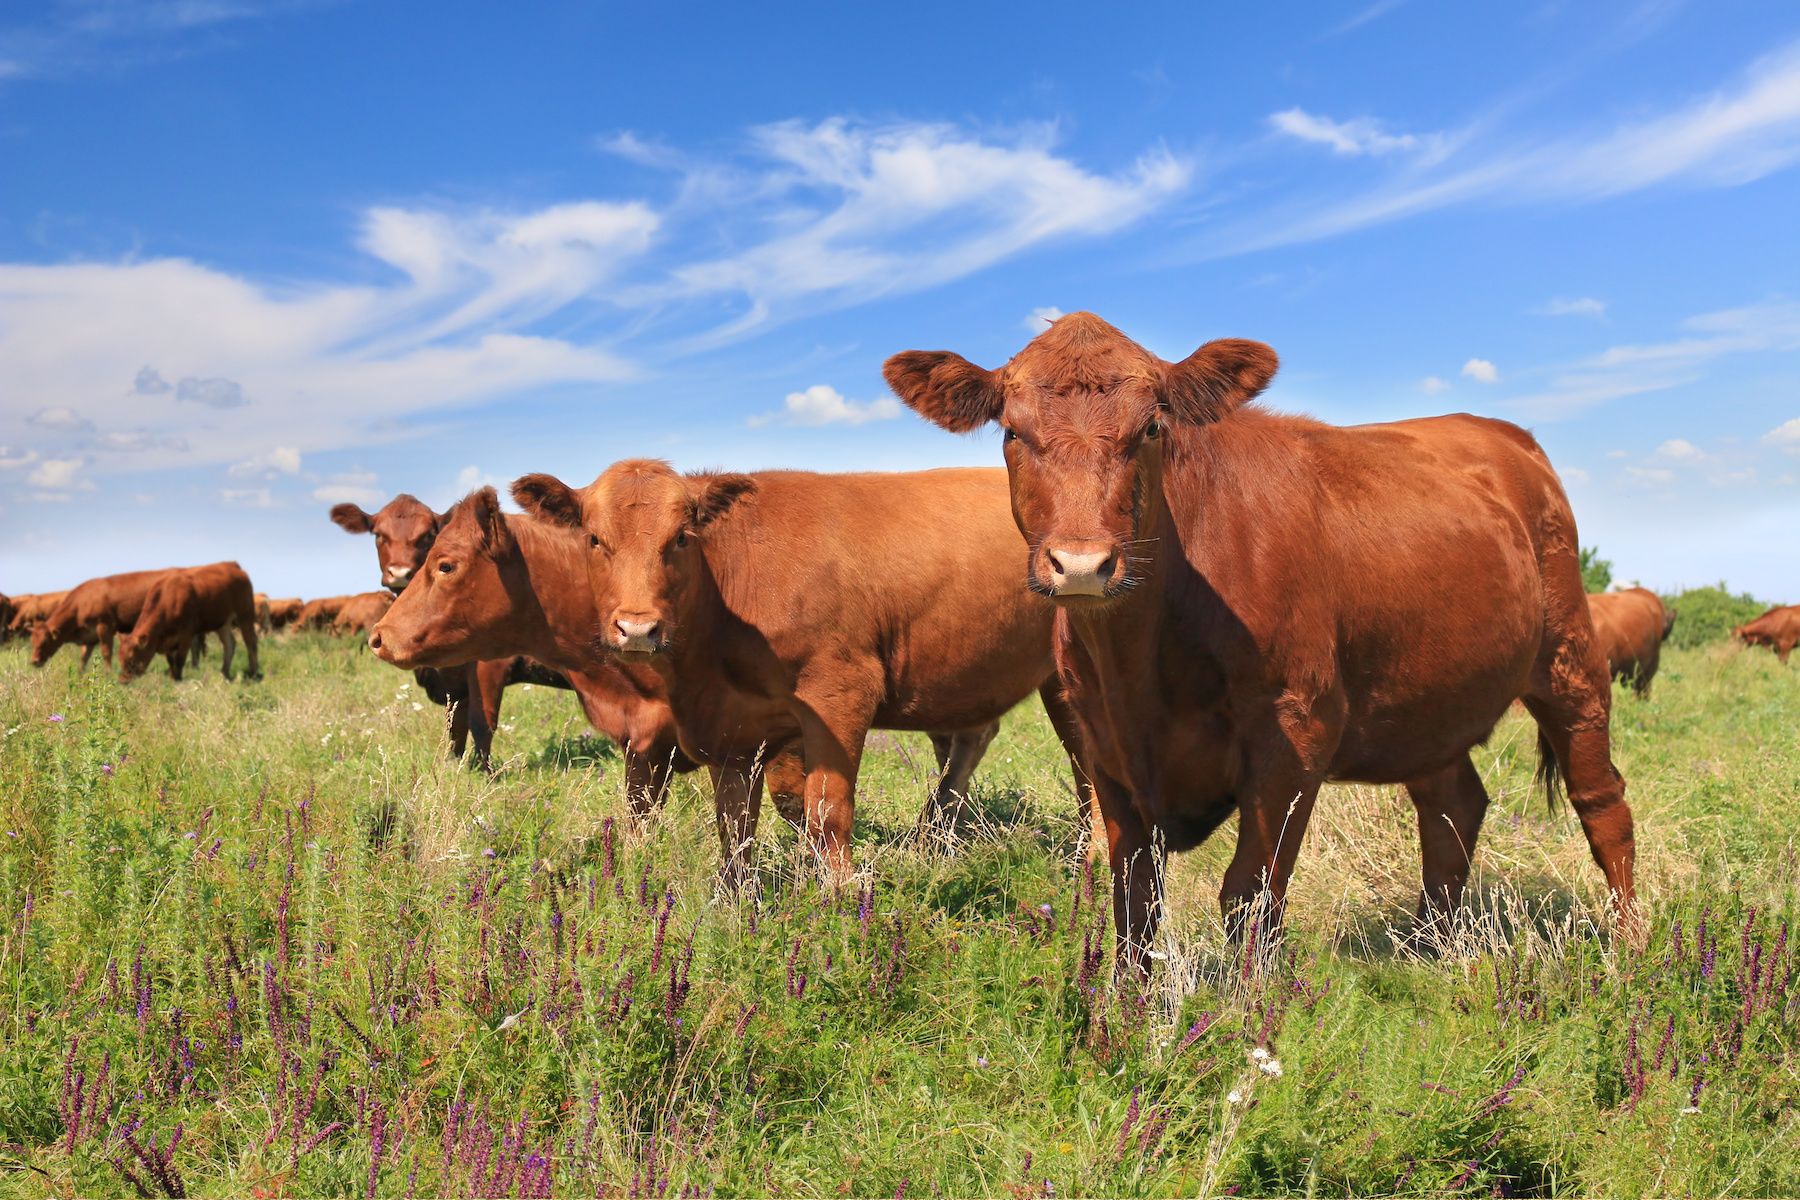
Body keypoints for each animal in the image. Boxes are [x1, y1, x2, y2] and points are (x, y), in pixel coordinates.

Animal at [31, 570, 173, 671]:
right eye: (32, 641)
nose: (34, 661)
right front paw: (79, 677)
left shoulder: (105, 626)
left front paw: (108, 674)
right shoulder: (89, 637)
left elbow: (106, 653)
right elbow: (83, 658)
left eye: (44, 642)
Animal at [119, 563, 261, 681]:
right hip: (223, 623)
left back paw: (253, 673)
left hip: (245, 615)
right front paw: (172, 676)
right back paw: (224, 673)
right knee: (229, 644)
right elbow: (171, 659)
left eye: (131, 659)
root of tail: (235, 567)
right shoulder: (169, 640)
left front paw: (177, 678)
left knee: (251, 642)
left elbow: (180, 658)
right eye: (120, 659)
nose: (123, 681)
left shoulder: (186, 633)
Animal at [332, 493, 580, 766]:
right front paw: (453, 765)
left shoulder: (489, 666)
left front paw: (484, 771)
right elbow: (455, 725)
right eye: (378, 534)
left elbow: (481, 722)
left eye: (428, 535)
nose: (399, 572)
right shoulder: (457, 684)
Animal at [511, 462, 1101, 886]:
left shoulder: (839, 693)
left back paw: (1091, 857)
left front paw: (840, 900)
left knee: (1088, 763)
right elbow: (735, 827)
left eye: (680, 537)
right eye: (593, 538)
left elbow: (826, 813)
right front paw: (735, 904)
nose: (637, 628)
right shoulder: (733, 733)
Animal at [884, 311, 1638, 972]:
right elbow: (1133, 906)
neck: (1140, 665)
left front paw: (1248, 1027)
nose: (1081, 563)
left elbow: (1250, 899)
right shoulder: (1103, 747)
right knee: (1452, 806)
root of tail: (1498, 433)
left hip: (1570, 660)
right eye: (1012, 431)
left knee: (1601, 802)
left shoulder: (1296, 734)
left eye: (1152, 425)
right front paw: (1120, 1028)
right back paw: (1432, 949)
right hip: (1427, 698)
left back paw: (1629, 952)